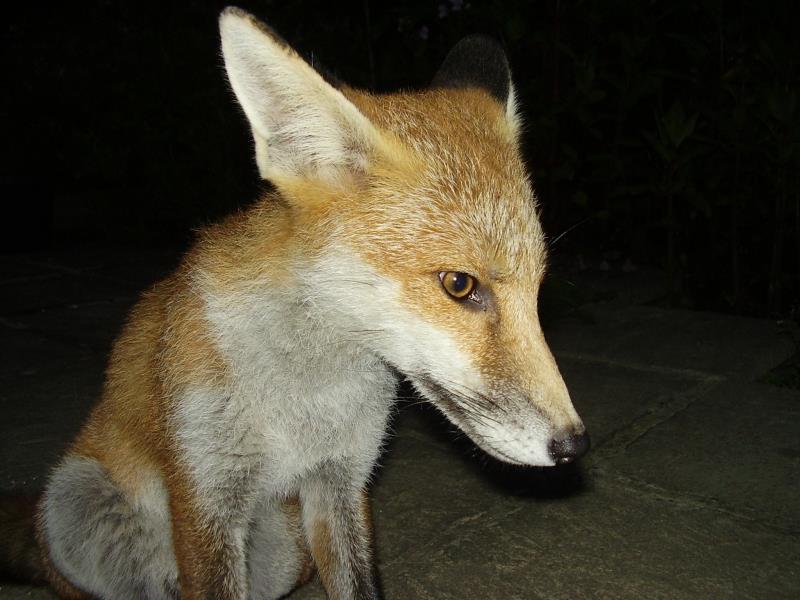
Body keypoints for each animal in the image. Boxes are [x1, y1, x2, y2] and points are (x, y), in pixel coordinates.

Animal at [1, 5, 588, 600]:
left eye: (538, 289)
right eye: (459, 285)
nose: (573, 446)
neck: (308, 399)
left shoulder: (341, 483)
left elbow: (359, 582)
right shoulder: (205, 496)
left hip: (282, 550)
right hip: (74, 511)